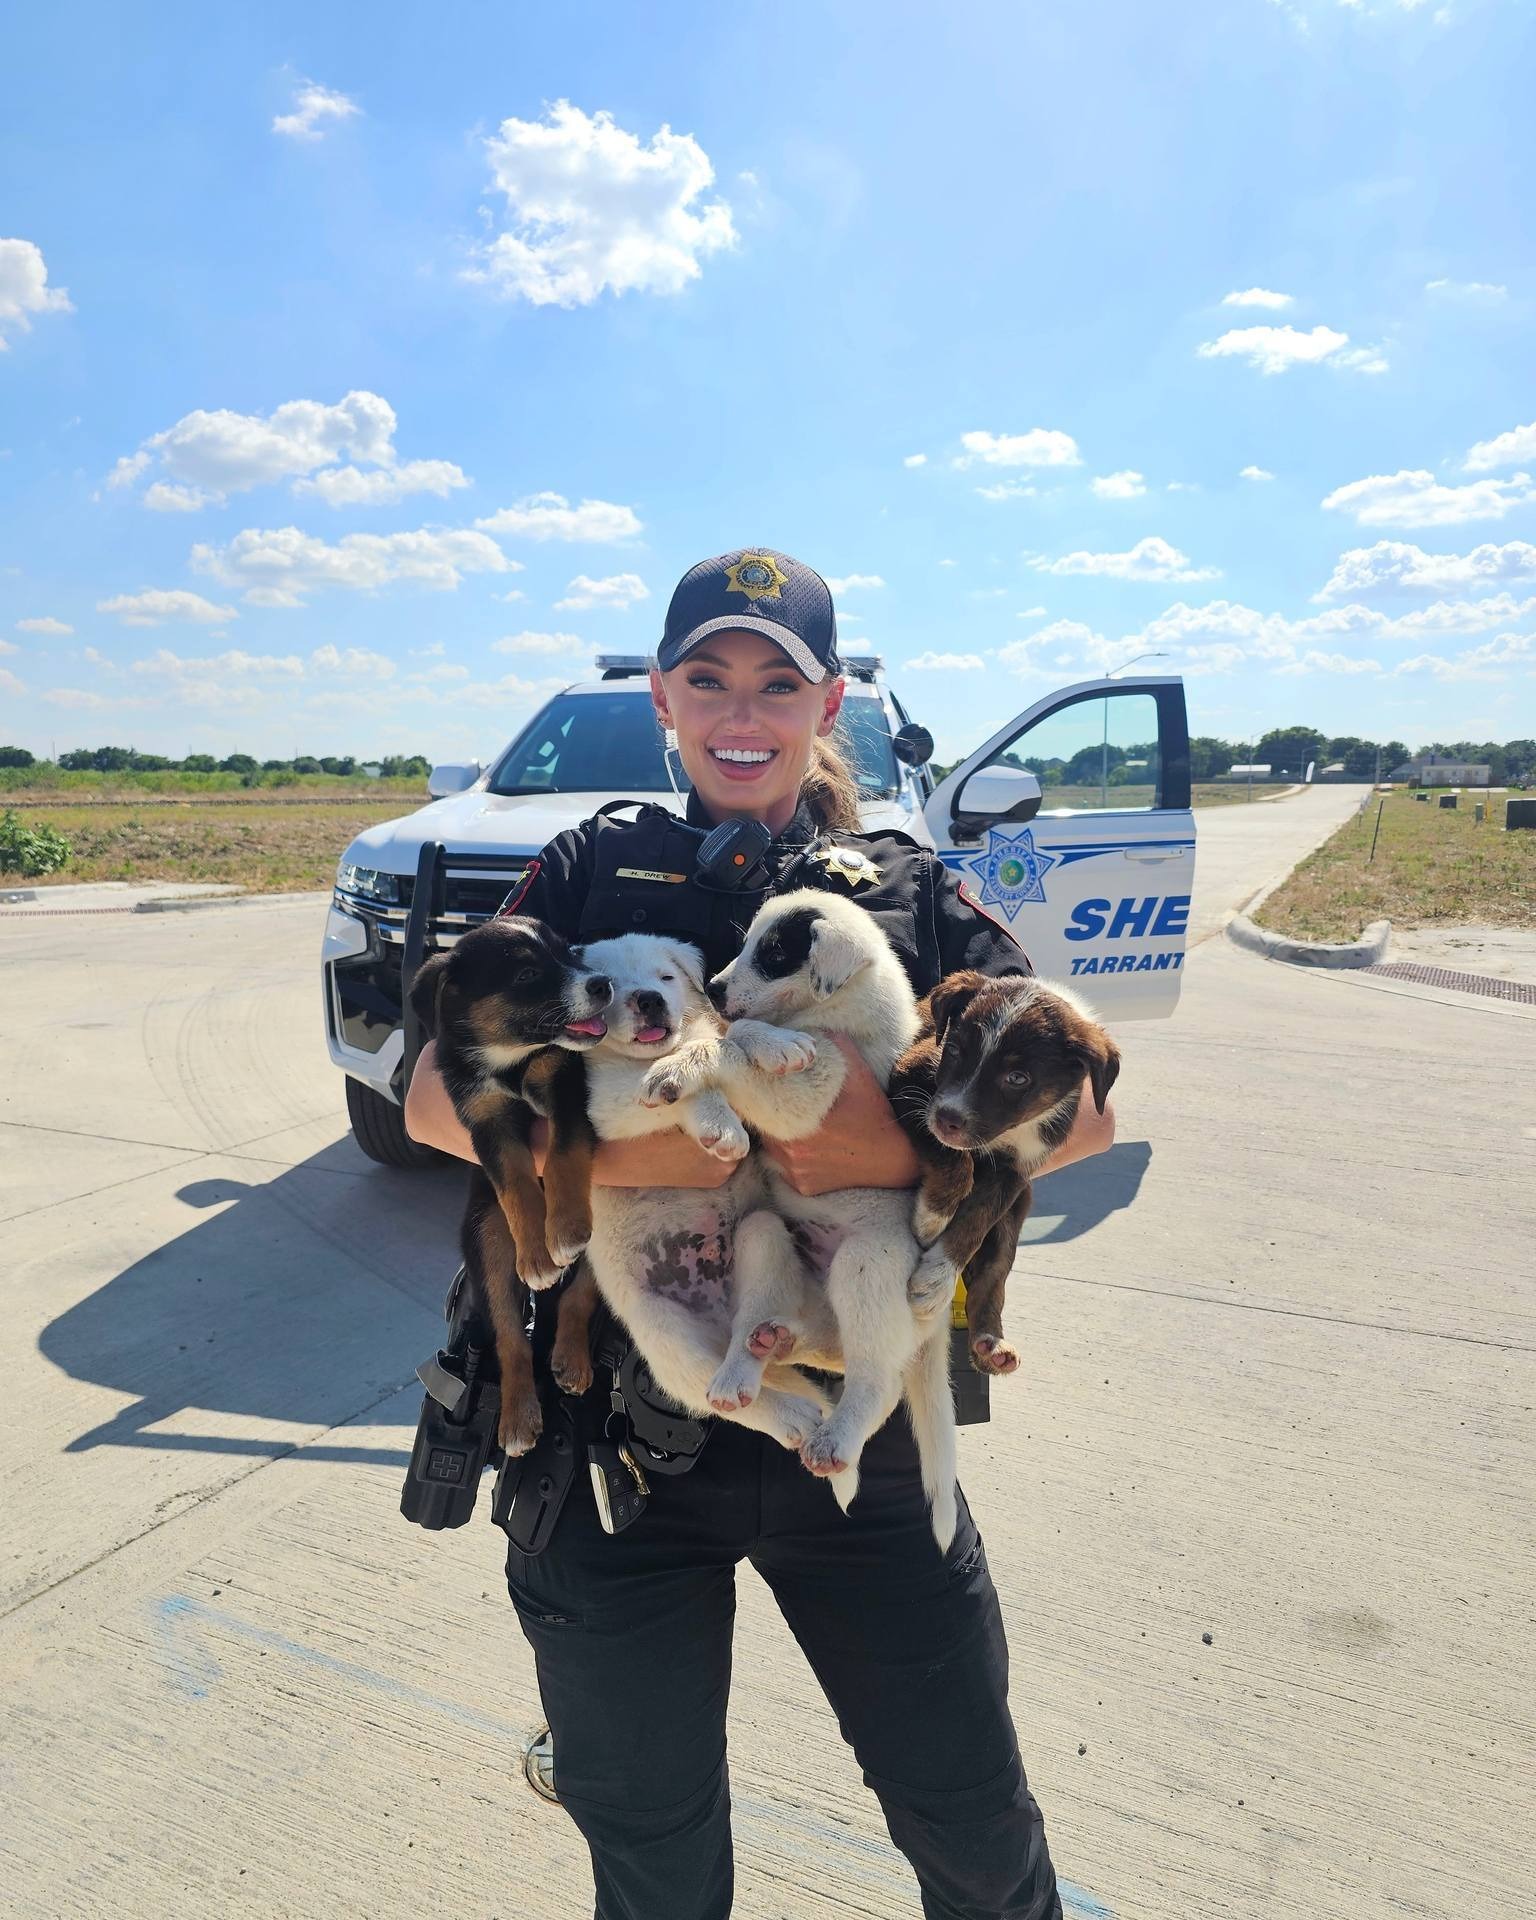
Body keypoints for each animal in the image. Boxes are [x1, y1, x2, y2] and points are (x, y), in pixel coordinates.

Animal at [414, 921, 618, 1443]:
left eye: (568, 952)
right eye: (527, 973)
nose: (604, 984)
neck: (509, 1061)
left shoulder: (567, 1089)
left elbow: (564, 1156)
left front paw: (563, 1230)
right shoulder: (486, 1123)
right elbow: (517, 1188)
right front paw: (538, 1256)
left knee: (578, 1297)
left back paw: (570, 1360)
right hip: (485, 1240)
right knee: (510, 1338)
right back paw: (519, 1416)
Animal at [637, 894, 960, 1543]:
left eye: (774, 952)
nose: (711, 988)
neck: (826, 1012)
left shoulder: (816, 1092)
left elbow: (735, 1041)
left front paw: (706, 1059)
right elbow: (738, 1033)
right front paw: (725, 1050)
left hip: (870, 1262)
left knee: (877, 1382)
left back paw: (837, 1436)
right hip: (765, 1238)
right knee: (781, 1323)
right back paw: (754, 1356)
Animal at [887, 975, 1113, 1382]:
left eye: (1017, 1078)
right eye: (954, 1050)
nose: (948, 1119)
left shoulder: (1015, 1173)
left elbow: (975, 1223)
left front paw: (937, 1279)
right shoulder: (912, 1079)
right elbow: (957, 1163)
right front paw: (931, 1218)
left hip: (1014, 1216)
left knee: (993, 1273)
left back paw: (990, 1344)